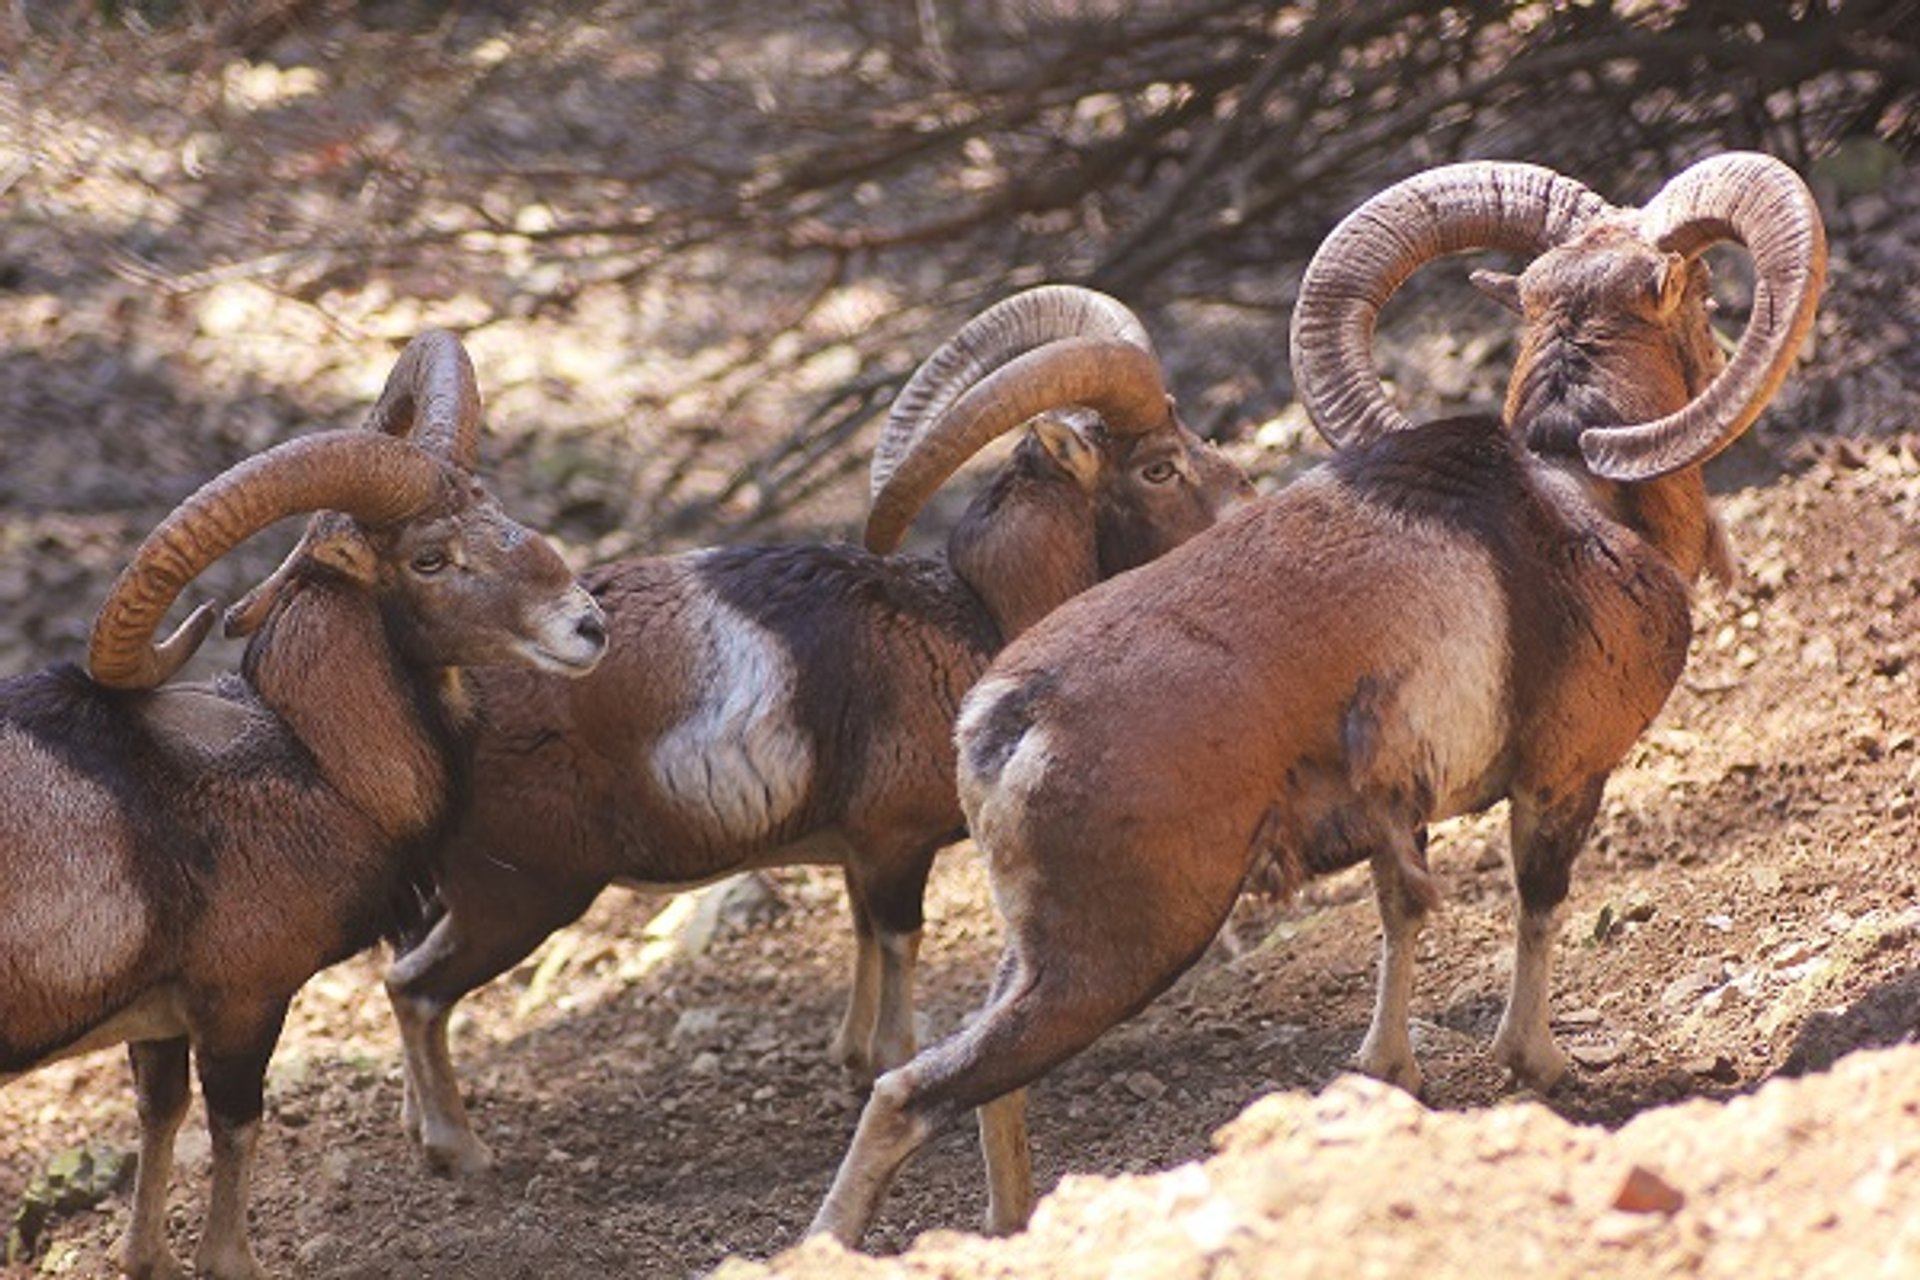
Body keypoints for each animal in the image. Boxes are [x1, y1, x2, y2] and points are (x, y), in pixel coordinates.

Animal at [810, 152, 1827, 1251]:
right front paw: (1541, 1064)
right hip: (1115, 957)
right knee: (911, 1092)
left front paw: (1394, 1073)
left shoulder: (1404, 820)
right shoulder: (1562, 780)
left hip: (1039, 958)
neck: (1578, 498)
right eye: (1707, 295)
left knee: (990, 1087)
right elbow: (1537, 908)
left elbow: (1400, 918)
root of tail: (1004, 723)